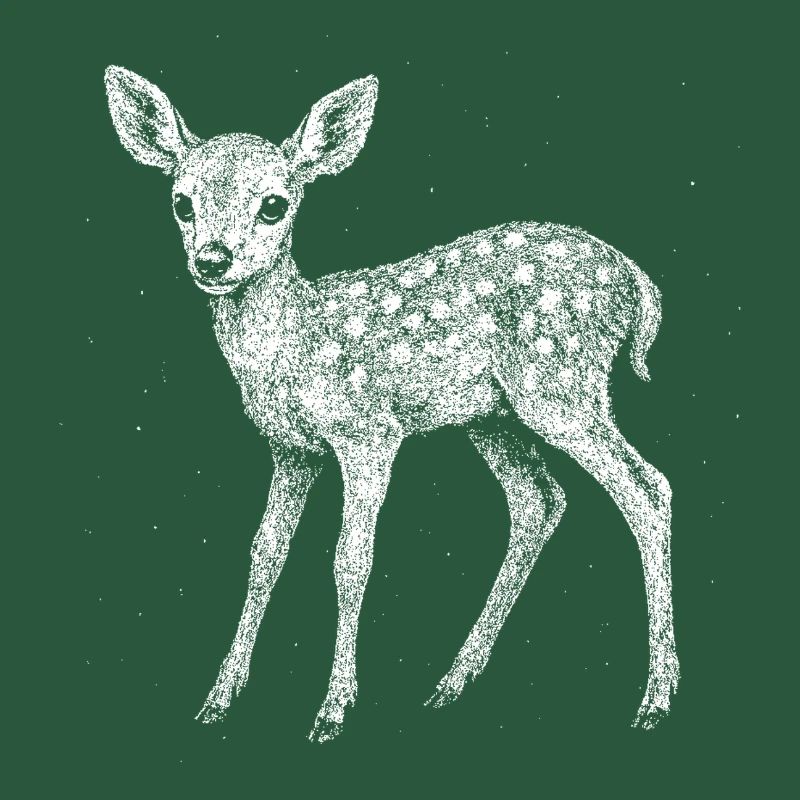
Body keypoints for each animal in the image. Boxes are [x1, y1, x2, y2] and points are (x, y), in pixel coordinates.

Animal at [104, 65, 679, 741]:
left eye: (274, 203)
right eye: (181, 201)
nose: (213, 260)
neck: (296, 344)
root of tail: (640, 285)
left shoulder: (369, 433)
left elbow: (350, 559)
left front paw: (333, 708)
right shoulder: (291, 449)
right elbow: (264, 552)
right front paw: (219, 697)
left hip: (561, 382)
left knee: (646, 487)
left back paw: (656, 698)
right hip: (494, 416)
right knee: (540, 501)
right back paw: (453, 681)